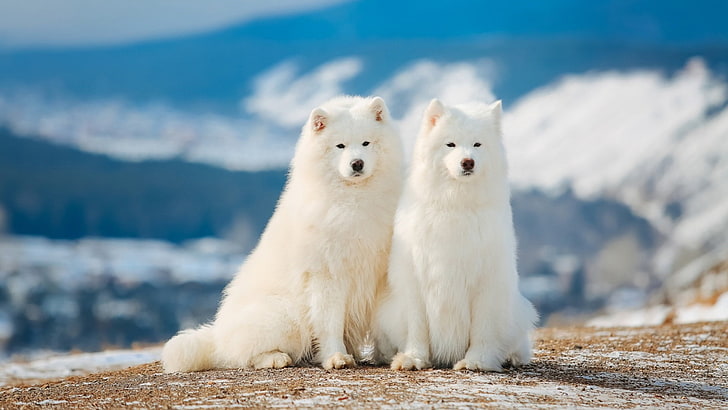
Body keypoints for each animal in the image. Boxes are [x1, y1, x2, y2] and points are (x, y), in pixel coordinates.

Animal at [162, 96, 404, 372]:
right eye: (340, 145)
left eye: (366, 143)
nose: (357, 163)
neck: (354, 200)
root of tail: (217, 335)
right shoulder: (326, 275)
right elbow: (329, 323)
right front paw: (336, 357)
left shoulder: (378, 273)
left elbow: (382, 321)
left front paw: (387, 355)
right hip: (285, 317)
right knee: (239, 355)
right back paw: (276, 358)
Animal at [376, 98, 536, 372]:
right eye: (450, 144)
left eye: (477, 144)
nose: (467, 162)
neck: (455, 204)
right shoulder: (415, 278)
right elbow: (417, 327)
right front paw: (414, 358)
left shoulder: (486, 281)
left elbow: (482, 328)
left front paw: (477, 361)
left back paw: (511, 357)